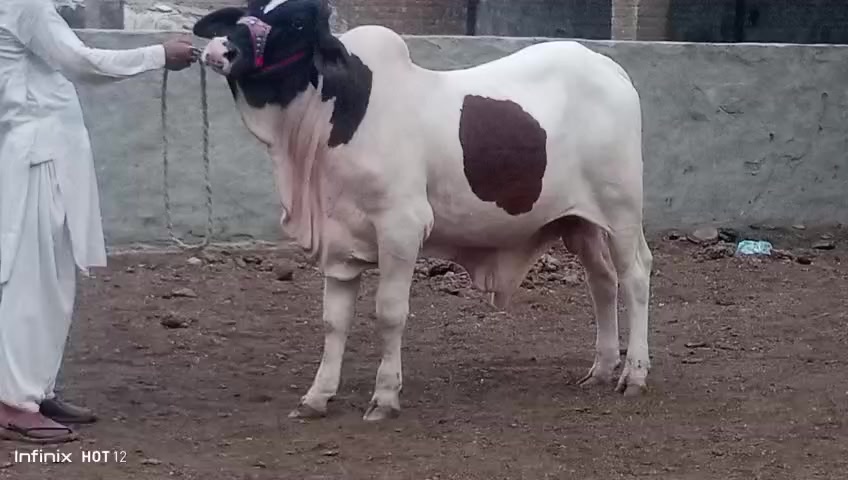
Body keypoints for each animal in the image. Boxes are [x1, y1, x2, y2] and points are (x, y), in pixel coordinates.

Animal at [192, 0, 653, 422]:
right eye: (250, 11)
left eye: (295, 23)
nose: (219, 49)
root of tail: (609, 68)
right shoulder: (338, 239)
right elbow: (333, 321)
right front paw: (317, 396)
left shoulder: (401, 227)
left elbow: (390, 313)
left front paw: (384, 396)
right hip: (579, 221)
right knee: (602, 281)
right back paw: (600, 369)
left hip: (622, 211)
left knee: (635, 276)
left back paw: (633, 374)